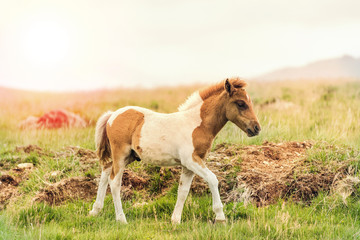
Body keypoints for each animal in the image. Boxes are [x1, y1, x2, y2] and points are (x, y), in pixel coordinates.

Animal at [88, 78, 260, 224]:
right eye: (241, 103)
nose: (256, 128)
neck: (197, 124)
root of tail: (113, 115)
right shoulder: (191, 160)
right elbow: (212, 179)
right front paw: (220, 217)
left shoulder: (189, 166)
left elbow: (183, 190)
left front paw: (175, 220)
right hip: (121, 154)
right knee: (114, 181)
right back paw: (121, 219)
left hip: (129, 156)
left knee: (105, 172)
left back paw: (95, 210)